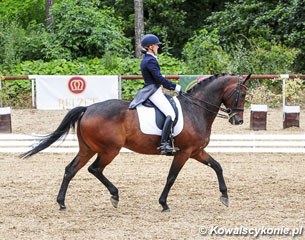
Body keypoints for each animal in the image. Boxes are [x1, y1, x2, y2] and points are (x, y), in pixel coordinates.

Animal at [20, 73, 249, 212]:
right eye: (242, 93)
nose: (238, 120)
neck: (196, 109)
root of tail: (88, 108)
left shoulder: (196, 151)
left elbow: (217, 166)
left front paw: (224, 196)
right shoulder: (184, 152)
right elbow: (171, 177)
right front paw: (164, 203)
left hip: (88, 148)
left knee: (71, 169)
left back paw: (62, 203)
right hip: (110, 149)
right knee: (95, 169)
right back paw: (114, 196)